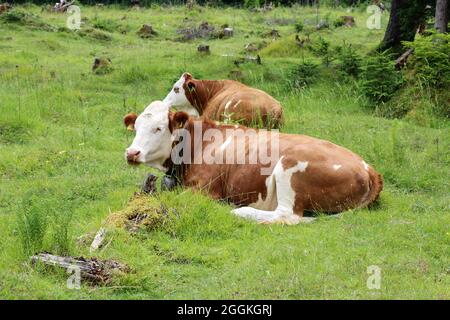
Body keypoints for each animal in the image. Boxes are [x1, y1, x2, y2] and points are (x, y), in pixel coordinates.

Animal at [124, 101, 384, 224]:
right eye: (135, 127)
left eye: (158, 128)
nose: (131, 152)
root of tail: (368, 167)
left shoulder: (205, 190)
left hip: (289, 166)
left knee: (287, 216)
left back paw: (242, 211)